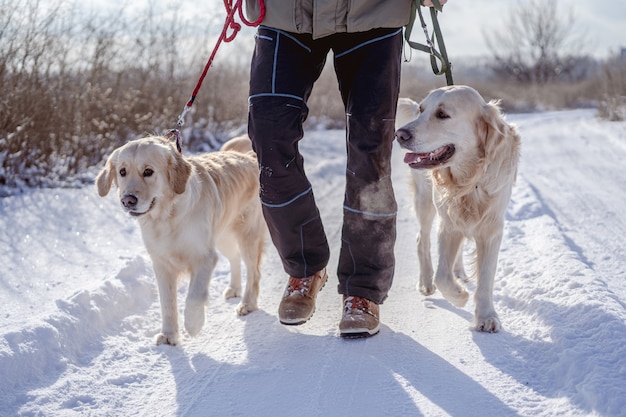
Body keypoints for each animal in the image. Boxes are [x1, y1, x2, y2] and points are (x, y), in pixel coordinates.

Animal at [96, 136, 264, 344]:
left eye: (148, 171)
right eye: (122, 172)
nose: (128, 200)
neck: (167, 217)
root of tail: (249, 158)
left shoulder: (204, 257)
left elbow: (194, 296)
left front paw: (193, 324)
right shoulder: (162, 264)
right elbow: (167, 303)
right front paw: (169, 335)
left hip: (248, 235)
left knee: (254, 272)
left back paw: (247, 304)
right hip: (224, 237)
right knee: (234, 258)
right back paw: (234, 288)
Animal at [394, 86, 520, 334]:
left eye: (442, 115)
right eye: (422, 110)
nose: (400, 135)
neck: (469, 181)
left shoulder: (492, 229)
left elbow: (486, 276)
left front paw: (487, 316)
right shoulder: (448, 224)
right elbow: (442, 275)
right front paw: (459, 296)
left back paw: (459, 272)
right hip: (425, 201)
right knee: (421, 239)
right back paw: (426, 282)